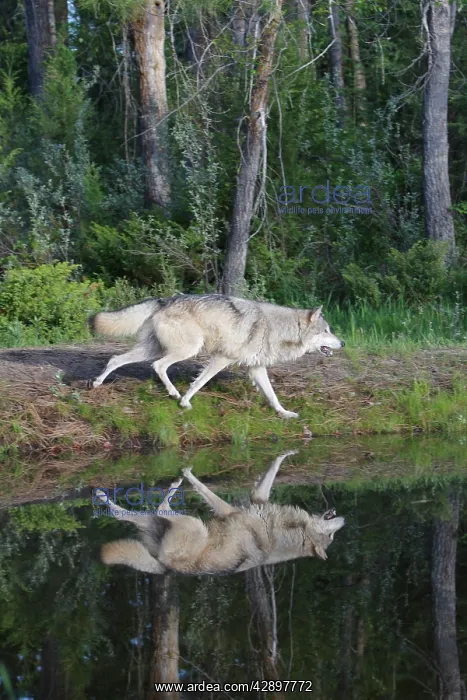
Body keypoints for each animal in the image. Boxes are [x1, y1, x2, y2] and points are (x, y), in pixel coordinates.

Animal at [89, 294, 344, 418]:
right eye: (326, 330)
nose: (343, 342)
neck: (278, 328)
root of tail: (164, 300)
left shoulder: (256, 368)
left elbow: (272, 395)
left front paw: (284, 413)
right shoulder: (222, 358)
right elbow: (200, 382)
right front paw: (185, 401)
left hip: (153, 349)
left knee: (115, 359)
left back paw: (97, 383)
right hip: (185, 350)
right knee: (158, 366)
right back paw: (173, 393)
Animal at [96, 451, 345, 576]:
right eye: (332, 536)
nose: (344, 519)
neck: (280, 532)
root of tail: (164, 566)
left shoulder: (229, 510)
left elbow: (205, 490)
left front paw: (188, 474)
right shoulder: (256, 500)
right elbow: (274, 467)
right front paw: (288, 451)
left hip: (192, 524)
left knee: (159, 508)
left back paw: (177, 480)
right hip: (162, 524)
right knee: (123, 514)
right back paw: (100, 494)